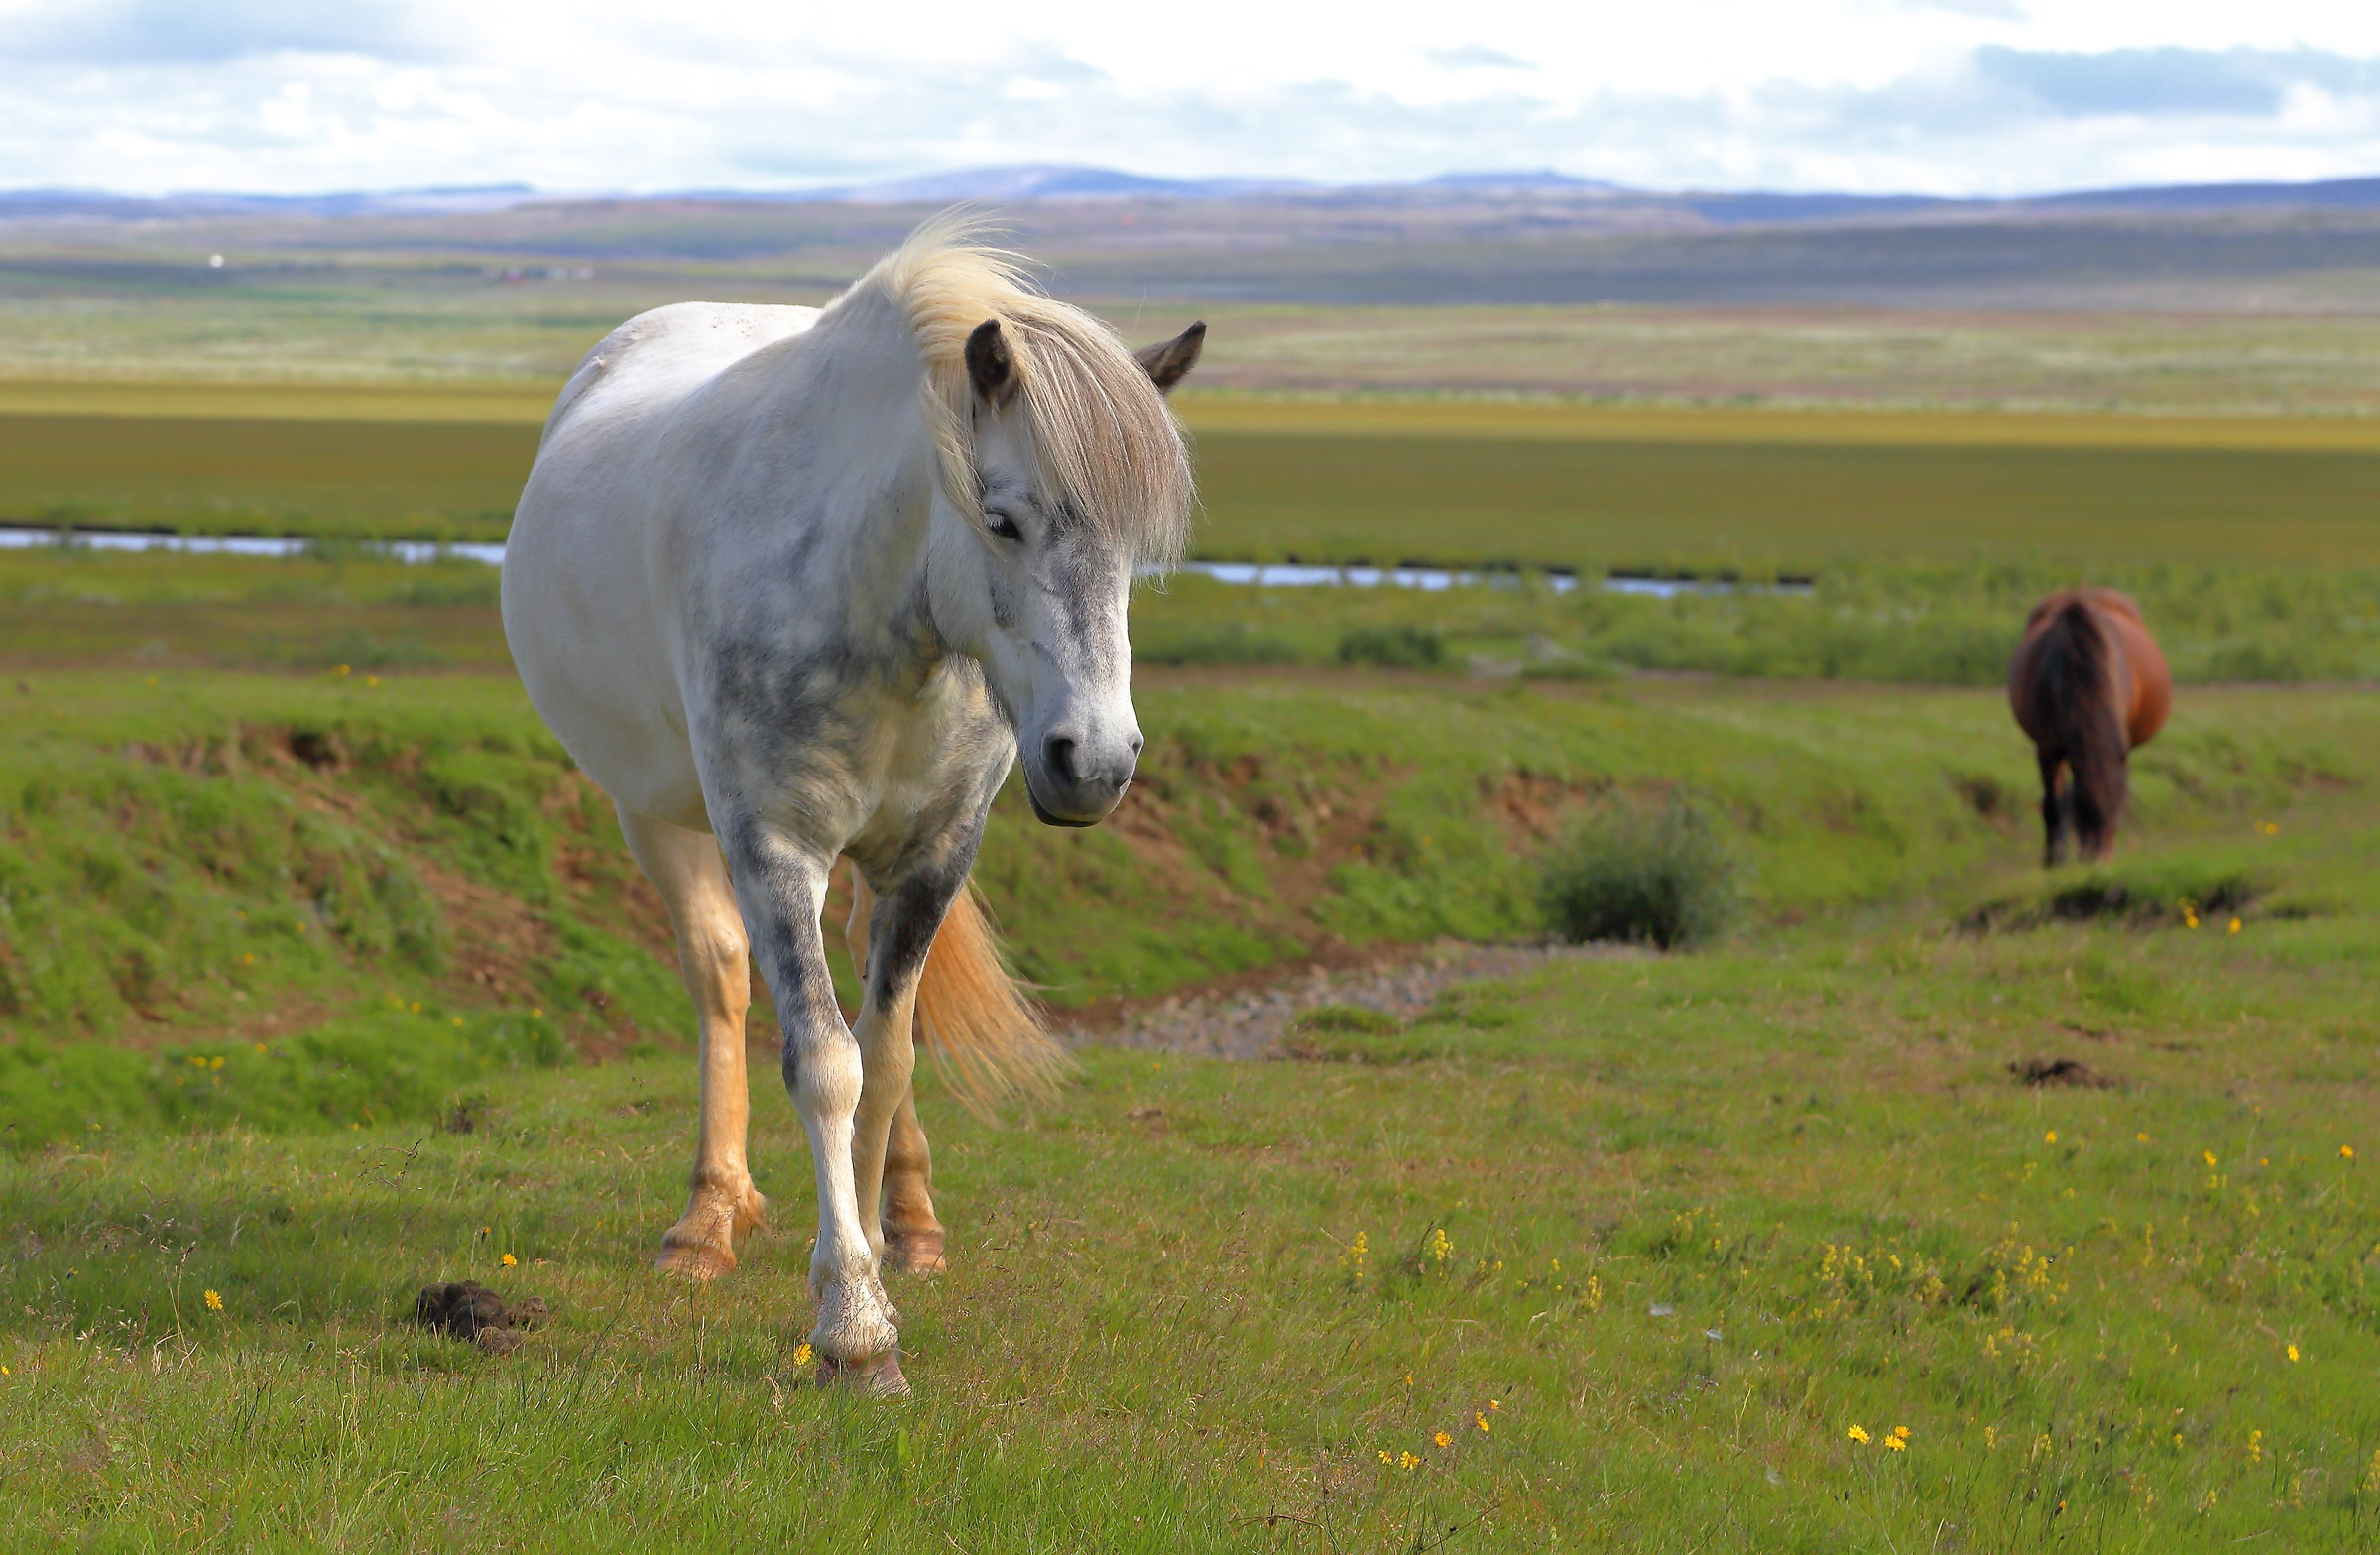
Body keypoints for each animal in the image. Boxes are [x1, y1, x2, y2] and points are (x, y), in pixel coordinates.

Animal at [500, 218, 1205, 1393]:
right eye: (1003, 520)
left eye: (1138, 553)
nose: (1097, 762)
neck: (878, 606)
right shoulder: (774, 846)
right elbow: (827, 1063)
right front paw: (855, 1330)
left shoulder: (933, 855)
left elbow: (888, 1060)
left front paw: (878, 1255)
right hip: (658, 815)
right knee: (721, 978)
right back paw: (708, 1217)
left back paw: (908, 1222)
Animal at [2008, 589, 2171, 866]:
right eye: (2082, 810)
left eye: (2117, 813)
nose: (2098, 860)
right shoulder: (2047, 749)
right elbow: (2053, 804)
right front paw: (2053, 860)